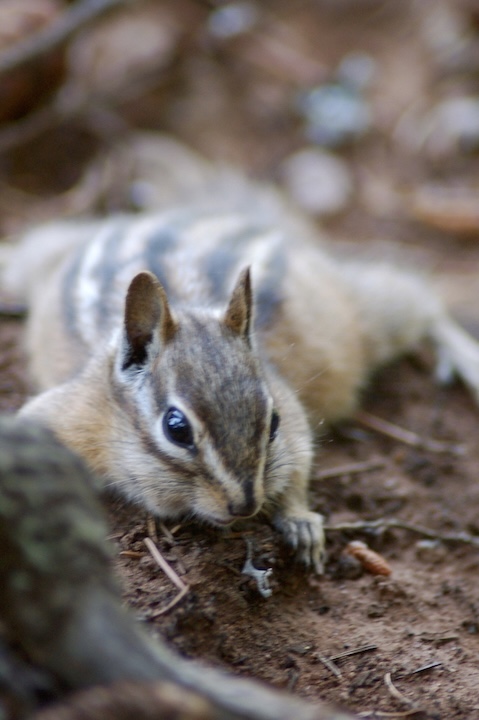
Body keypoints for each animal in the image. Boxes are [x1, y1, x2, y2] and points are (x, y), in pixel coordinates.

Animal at [4, 139, 479, 574]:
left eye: (273, 421)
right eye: (176, 428)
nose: (244, 505)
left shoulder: (290, 412)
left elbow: (299, 458)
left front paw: (300, 519)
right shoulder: (67, 414)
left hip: (359, 319)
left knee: (419, 298)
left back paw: (465, 358)